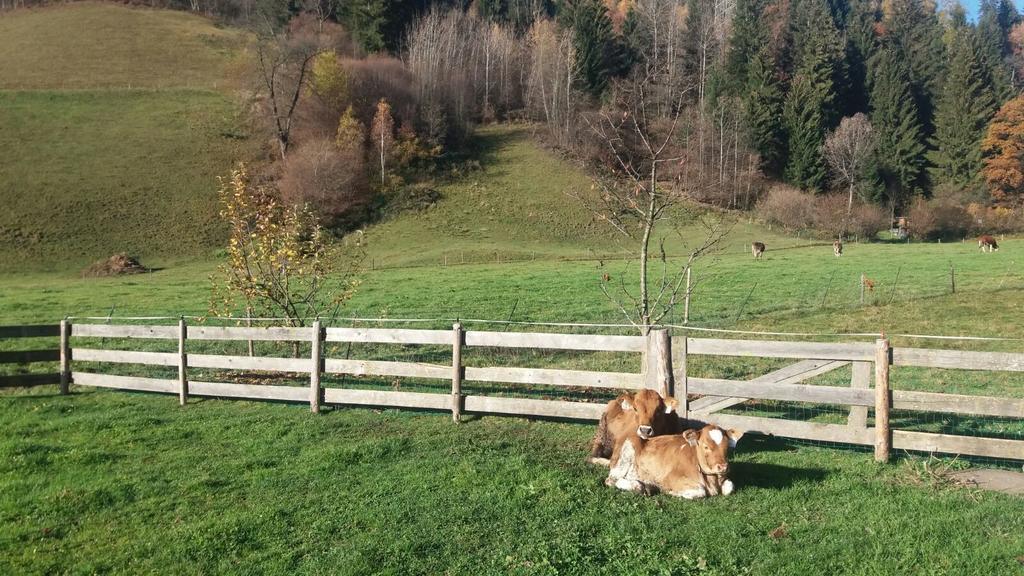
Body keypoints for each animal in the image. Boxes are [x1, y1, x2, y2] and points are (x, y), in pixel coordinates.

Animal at [598, 422, 745, 498]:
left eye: (726, 447)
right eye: (706, 446)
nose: (723, 467)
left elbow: (729, 487)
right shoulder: (671, 479)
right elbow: (701, 492)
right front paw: (670, 491)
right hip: (623, 458)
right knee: (611, 480)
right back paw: (639, 485)